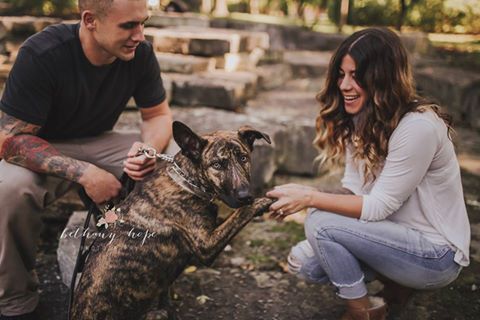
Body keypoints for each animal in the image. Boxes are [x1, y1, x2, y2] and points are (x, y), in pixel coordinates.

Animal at [71, 121, 274, 318]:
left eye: (243, 158)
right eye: (217, 165)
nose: (245, 196)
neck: (188, 183)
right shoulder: (206, 245)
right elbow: (240, 213)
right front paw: (263, 201)